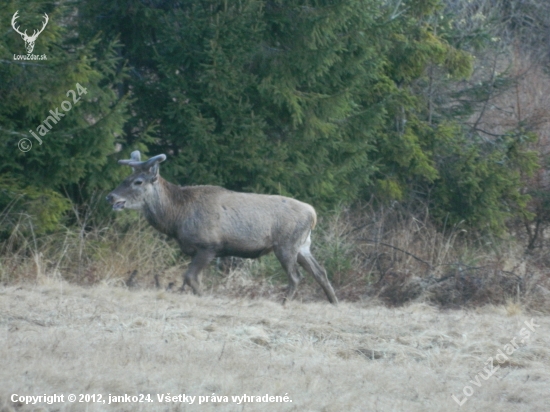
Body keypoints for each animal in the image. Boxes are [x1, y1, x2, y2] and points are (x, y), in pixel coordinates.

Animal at [105, 150, 338, 304]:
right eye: (126, 177)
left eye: (138, 181)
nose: (110, 196)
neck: (176, 218)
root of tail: (313, 213)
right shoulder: (198, 250)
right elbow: (194, 279)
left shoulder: (209, 246)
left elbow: (190, 278)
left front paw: (204, 298)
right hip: (303, 246)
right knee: (321, 272)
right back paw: (334, 302)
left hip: (286, 245)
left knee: (296, 277)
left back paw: (284, 303)